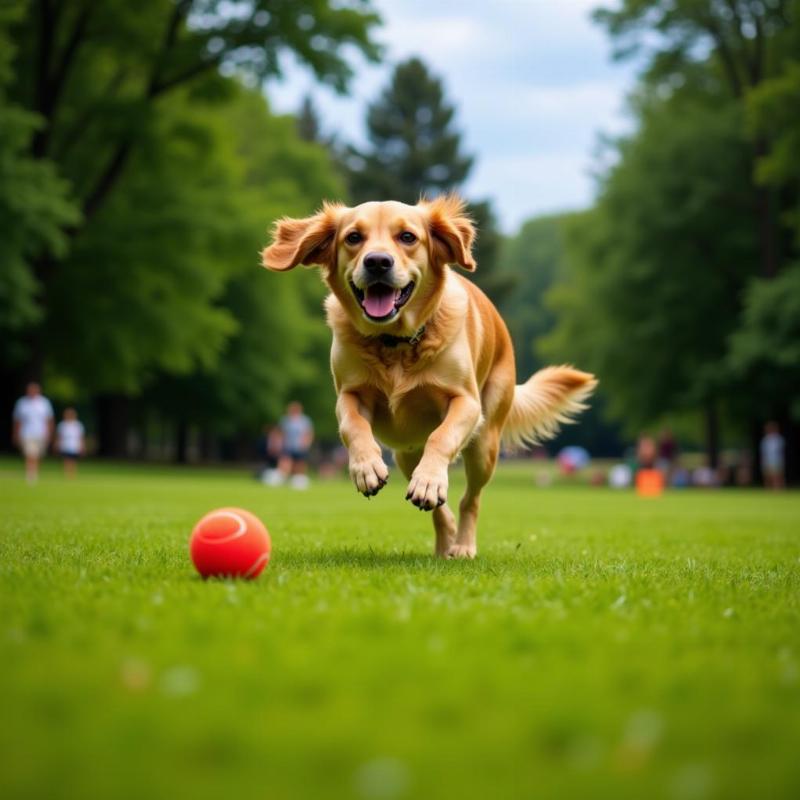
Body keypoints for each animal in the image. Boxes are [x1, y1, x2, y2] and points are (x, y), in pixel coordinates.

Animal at [260, 195, 592, 556]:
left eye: (407, 237)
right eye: (353, 237)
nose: (378, 262)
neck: (395, 342)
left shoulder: (466, 402)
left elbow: (441, 436)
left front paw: (431, 481)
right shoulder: (350, 394)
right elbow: (353, 426)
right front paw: (366, 468)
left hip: (484, 445)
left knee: (469, 499)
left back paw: (462, 544)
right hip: (405, 453)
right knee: (440, 509)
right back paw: (443, 543)